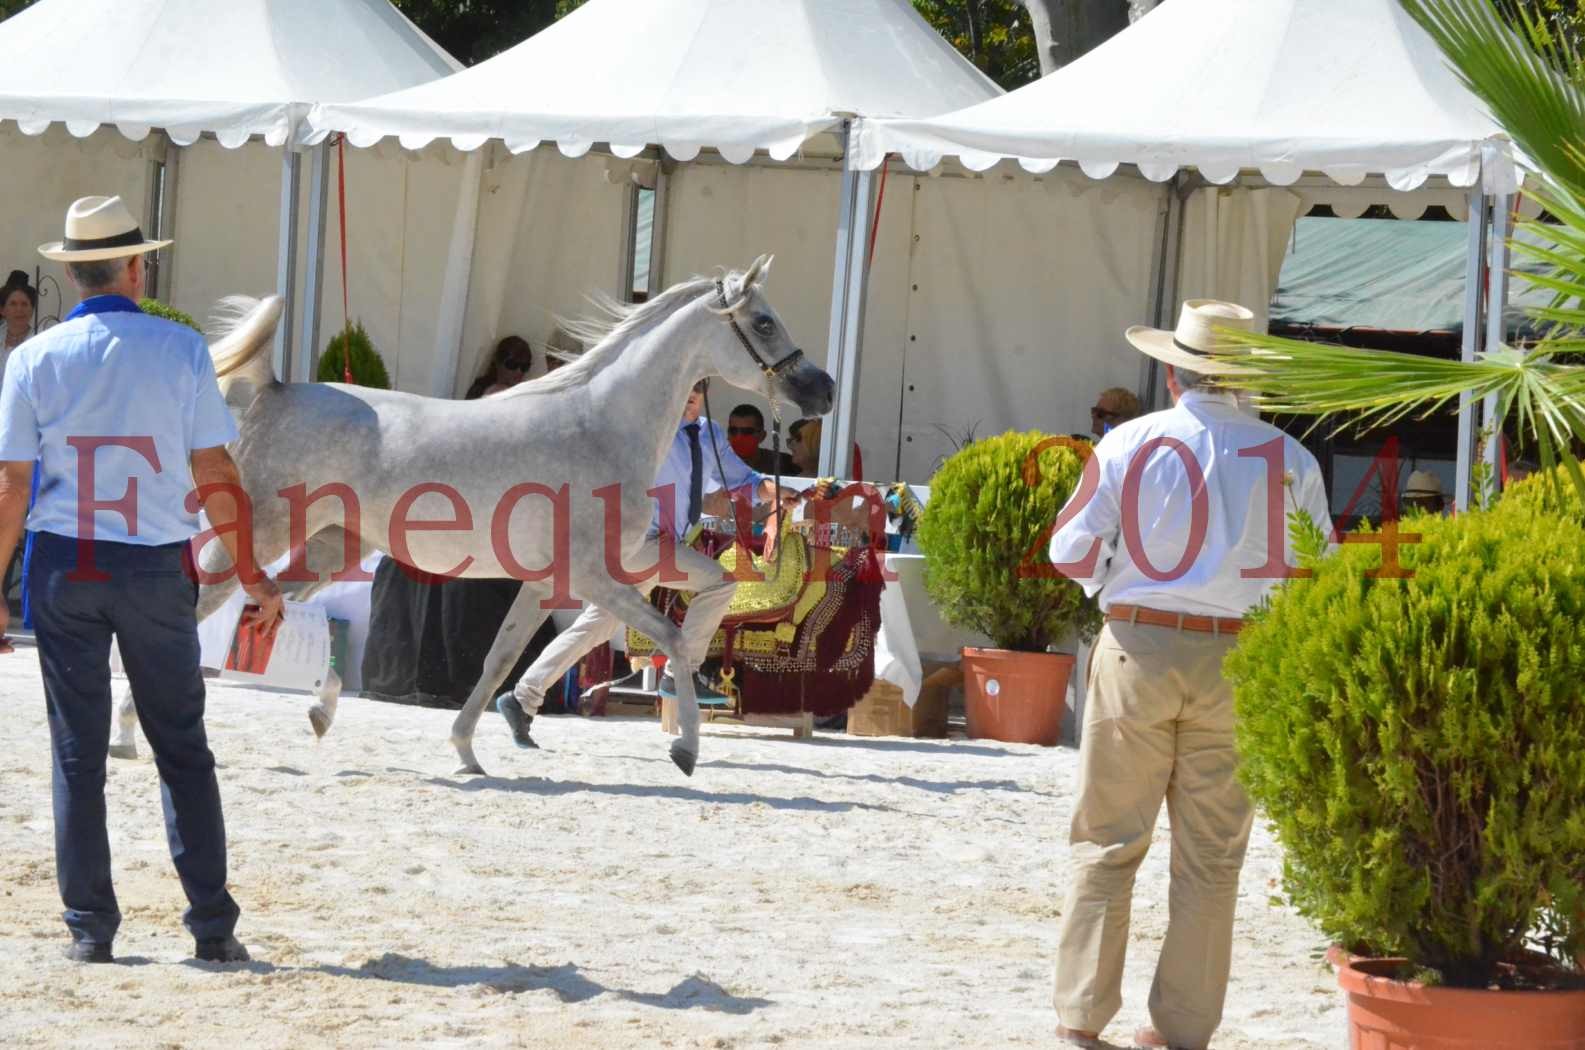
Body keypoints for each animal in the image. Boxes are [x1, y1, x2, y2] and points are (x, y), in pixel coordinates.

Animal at [110, 258, 836, 777]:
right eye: (762, 322)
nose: (822, 390)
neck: (599, 424)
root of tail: (277, 392)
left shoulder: (575, 575)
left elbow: (503, 661)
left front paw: (466, 750)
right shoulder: (592, 578)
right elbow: (667, 633)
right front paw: (684, 749)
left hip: (330, 548)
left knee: (276, 604)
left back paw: (318, 710)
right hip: (260, 533)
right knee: (199, 608)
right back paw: (128, 735)